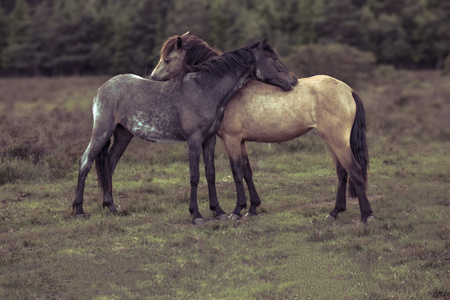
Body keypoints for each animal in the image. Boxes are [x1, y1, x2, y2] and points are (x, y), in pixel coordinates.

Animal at [151, 34, 372, 223]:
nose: (152, 78)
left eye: (167, 60)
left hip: (337, 140)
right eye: (274, 58)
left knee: (354, 171)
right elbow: (247, 172)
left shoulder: (231, 140)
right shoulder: (241, 141)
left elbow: (236, 172)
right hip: (330, 140)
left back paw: (366, 215)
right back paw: (334, 212)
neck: (227, 91)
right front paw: (252, 208)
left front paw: (237, 211)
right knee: (342, 172)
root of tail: (349, 91)